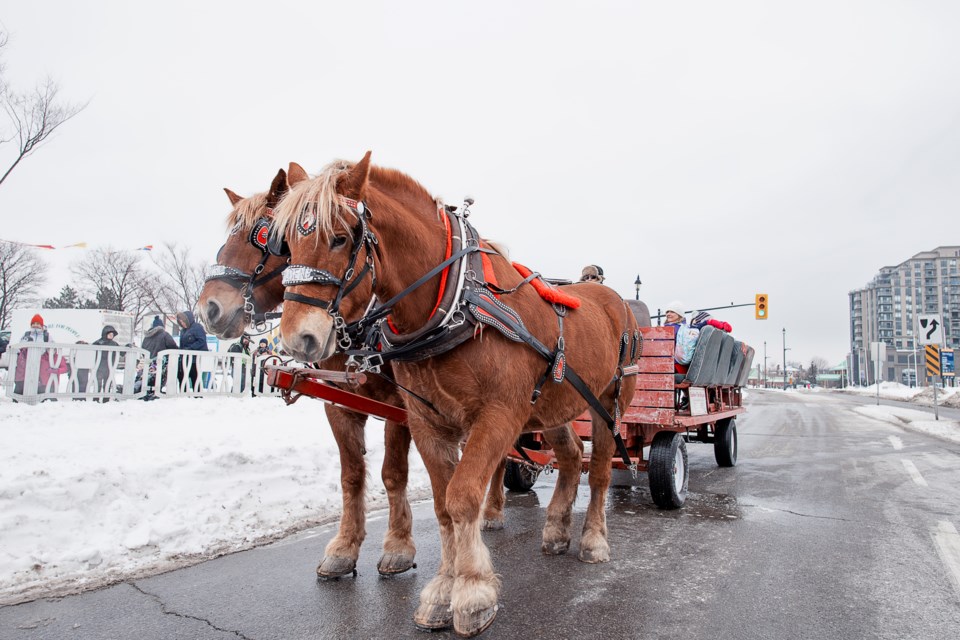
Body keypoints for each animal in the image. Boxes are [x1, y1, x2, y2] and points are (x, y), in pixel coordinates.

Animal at [199, 168, 420, 576]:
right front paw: (344, 547)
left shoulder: (404, 406)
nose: (210, 308)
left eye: (267, 238)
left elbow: (393, 472)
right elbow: (351, 475)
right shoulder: (339, 405)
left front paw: (399, 545)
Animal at [274, 152, 636, 636]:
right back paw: (557, 529)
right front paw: (444, 592)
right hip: (554, 405)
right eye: (288, 245)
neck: (453, 304)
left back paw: (593, 539)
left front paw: (472, 594)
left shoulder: (499, 414)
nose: (299, 339)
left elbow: (463, 497)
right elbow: (443, 506)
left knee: (598, 472)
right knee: (571, 456)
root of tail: (613, 298)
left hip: (609, 402)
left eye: (339, 238)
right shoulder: (427, 420)